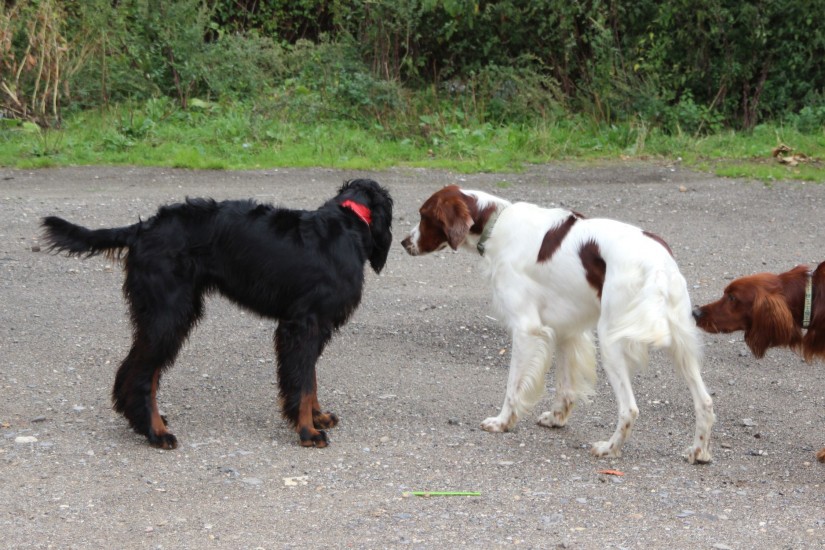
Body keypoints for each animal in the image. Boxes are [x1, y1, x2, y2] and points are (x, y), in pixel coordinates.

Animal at [41, 179, 393, 449]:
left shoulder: (311, 328)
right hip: (169, 315)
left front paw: (317, 416)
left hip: (164, 315)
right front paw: (307, 430)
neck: (345, 223)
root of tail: (142, 229)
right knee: (141, 373)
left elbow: (310, 378)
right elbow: (303, 382)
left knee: (137, 371)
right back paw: (156, 432)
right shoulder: (303, 325)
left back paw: (142, 421)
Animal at [401, 185, 715, 463]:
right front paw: (556, 418)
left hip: (611, 339)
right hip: (682, 344)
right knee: (705, 401)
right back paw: (698, 452)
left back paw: (609, 449)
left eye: (424, 216)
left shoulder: (526, 328)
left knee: (630, 409)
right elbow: (564, 385)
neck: (496, 225)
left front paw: (502, 422)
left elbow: (513, 387)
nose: (404, 242)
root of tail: (658, 264)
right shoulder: (567, 328)